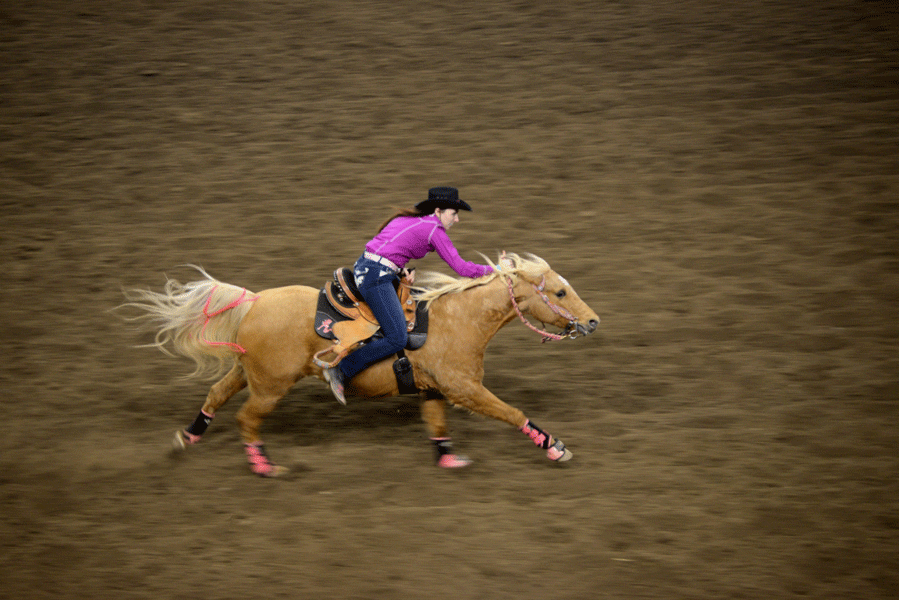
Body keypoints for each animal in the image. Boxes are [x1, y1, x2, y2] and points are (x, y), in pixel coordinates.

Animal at [119, 251, 596, 476]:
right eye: (558, 292)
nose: (592, 321)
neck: (457, 319)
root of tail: (254, 301)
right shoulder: (464, 388)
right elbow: (511, 412)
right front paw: (555, 446)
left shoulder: (433, 390)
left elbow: (437, 426)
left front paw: (449, 460)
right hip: (270, 386)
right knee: (246, 420)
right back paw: (265, 467)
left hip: (247, 372)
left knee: (216, 395)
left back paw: (187, 438)